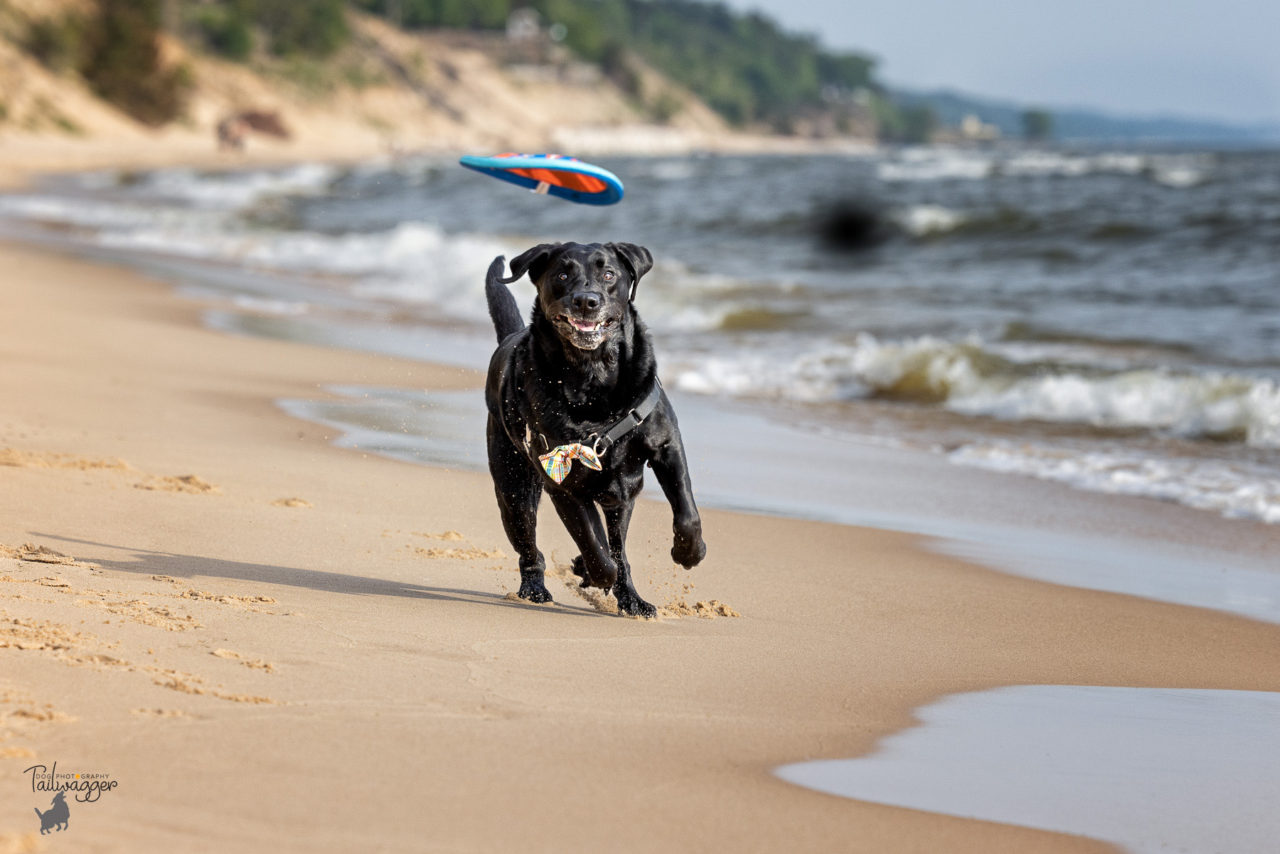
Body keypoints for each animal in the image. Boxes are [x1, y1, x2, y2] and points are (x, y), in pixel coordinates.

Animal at [486, 240, 711, 614]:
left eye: (608, 274)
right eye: (562, 275)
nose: (586, 301)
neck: (594, 374)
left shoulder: (666, 445)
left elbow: (686, 511)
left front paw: (690, 552)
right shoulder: (563, 482)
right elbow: (595, 547)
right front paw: (591, 570)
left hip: (621, 498)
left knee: (618, 544)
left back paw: (633, 601)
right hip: (514, 489)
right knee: (531, 548)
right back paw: (536, 588)